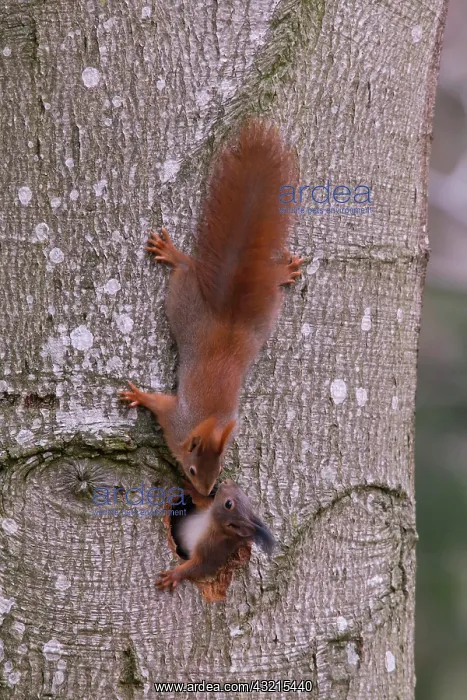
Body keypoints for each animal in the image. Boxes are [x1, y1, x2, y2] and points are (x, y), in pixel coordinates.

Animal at [120, 121, 302, 495]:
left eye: (217, 472)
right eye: (192, 470)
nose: (206, 494)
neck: (209, 426)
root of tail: (226, 317)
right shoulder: (176, 418)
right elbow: (159, 403)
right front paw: (138, 395)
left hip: (257, 314)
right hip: (187, 301)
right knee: (187, 268)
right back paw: (174, 253)